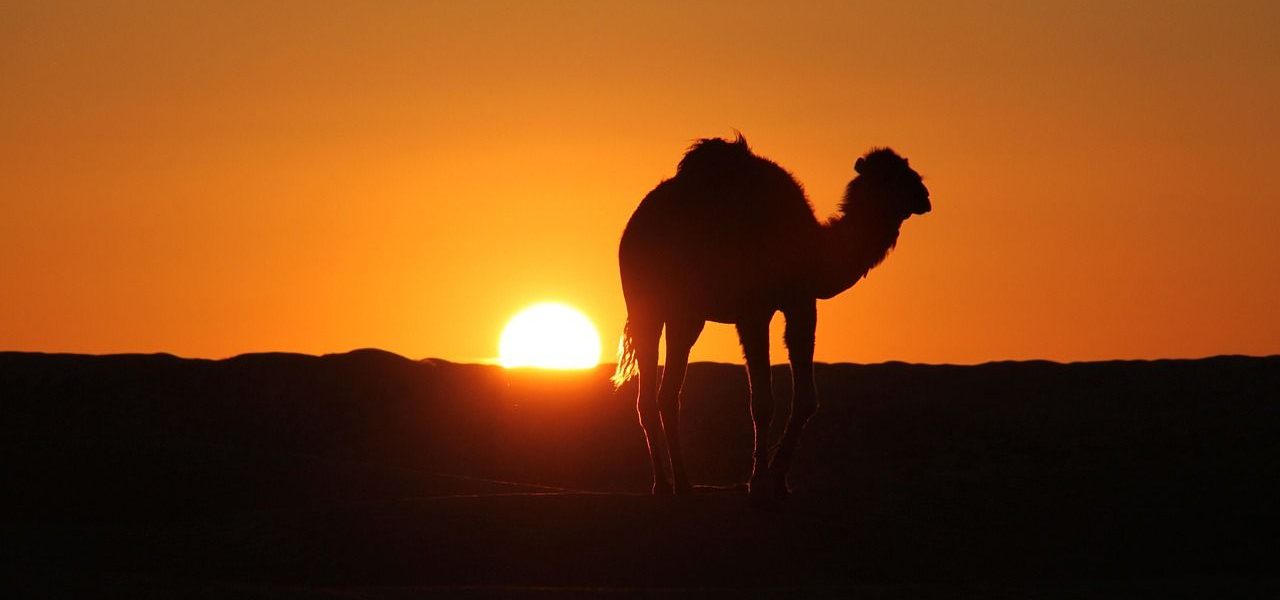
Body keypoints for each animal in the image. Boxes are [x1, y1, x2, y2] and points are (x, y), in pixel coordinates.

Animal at [613, 134, 930, 505]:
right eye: (889, 176)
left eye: (906, 167)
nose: (924, 195)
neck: (811, 247)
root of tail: (633, 227)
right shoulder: (753, 311)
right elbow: (762, 402)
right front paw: (759, 481)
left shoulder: (801, 303)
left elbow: (806, 398)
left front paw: (779, 480)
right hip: (646, 304)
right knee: (649, 394)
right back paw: (665, 484)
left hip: (686, 315)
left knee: (667, 392)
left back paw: (682, 483)